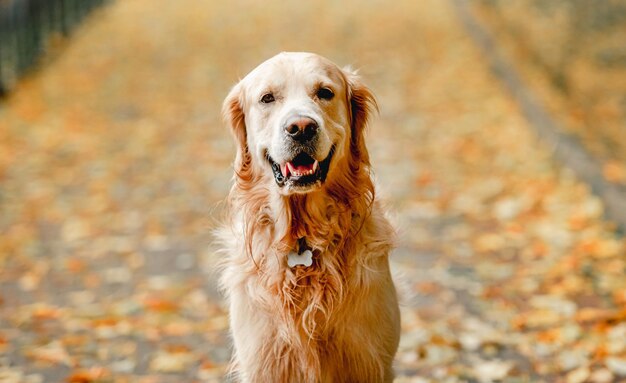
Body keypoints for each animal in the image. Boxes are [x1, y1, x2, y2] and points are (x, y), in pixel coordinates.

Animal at [217, 51, 398, 383]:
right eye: (267, 98)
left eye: (325, 92)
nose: (301, 127)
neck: (302, 235)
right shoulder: (263, 363)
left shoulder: (370, 361)